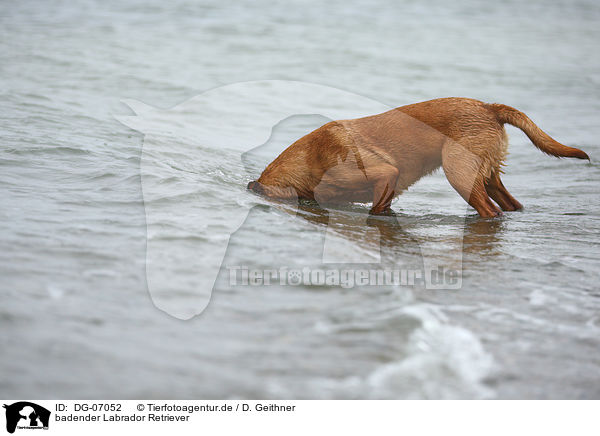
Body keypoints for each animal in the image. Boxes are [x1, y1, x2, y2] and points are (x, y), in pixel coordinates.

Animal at [246, 97, 588, 216]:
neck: (310, 158)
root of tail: (489, 107)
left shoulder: (386, 175)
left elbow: (373, 207)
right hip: (488, 177)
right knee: (510, 205)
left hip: (459, 174)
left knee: (491, 212)